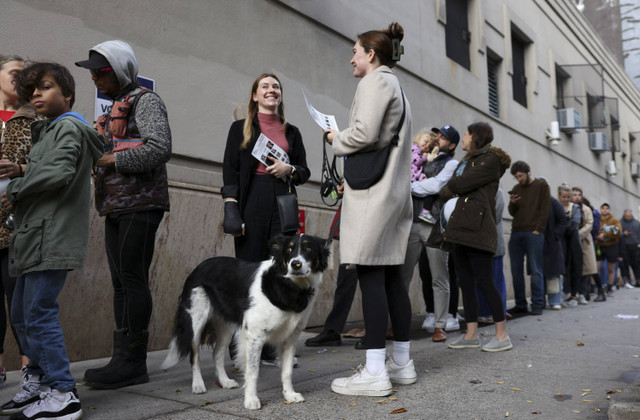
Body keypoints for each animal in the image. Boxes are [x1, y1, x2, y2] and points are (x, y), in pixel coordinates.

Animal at [160, 236, 330, 410]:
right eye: (289, 250)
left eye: (308, 249)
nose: (295, 264)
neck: (289, 286)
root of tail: (198, 267)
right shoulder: (255, 335)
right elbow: (253, 371)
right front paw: (251, 400)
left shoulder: (290, 337)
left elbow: (287, 371)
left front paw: (289, 395)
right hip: (196, 322)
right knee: (194, 355)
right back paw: (198, 384)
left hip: (225, 328)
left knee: (217, 354)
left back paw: (225, 381)